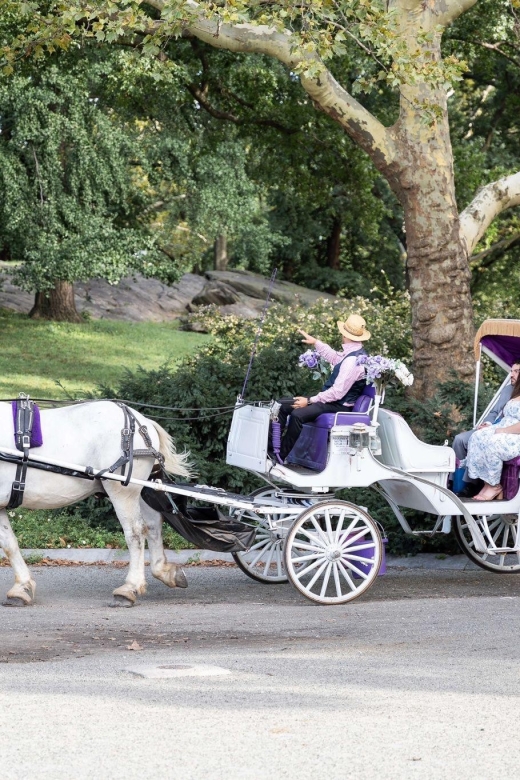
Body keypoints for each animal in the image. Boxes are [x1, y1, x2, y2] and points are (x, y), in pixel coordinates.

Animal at [0, 400, 191, 608]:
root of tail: (142, 422)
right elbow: (9, 543)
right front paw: (22, 587)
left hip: (122, 491)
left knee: (136, 532)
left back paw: (130, 587)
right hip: (139, 491)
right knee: (153, 525)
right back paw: (163, 571)